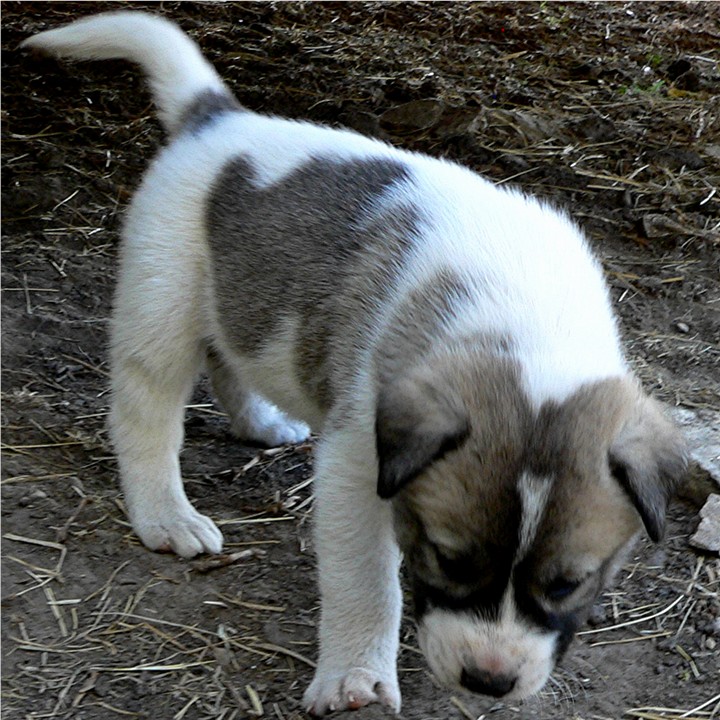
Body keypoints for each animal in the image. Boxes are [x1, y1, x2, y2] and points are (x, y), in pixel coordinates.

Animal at [23, 14, 688, 716]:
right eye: (449, 560)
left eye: (566, 584)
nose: (488, 681)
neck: (528, 323)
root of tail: (220, 118)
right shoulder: (358, 459)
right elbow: (366, 579)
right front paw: (356, 680)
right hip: (162, 300)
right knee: (146, 412)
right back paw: (166, 515)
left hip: (242, 294)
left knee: (230, 351)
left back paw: (261, 423)